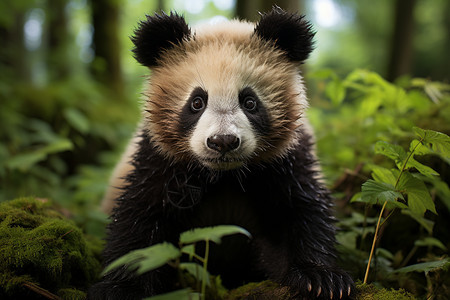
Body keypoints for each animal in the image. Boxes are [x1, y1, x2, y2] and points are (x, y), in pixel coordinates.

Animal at [89, 7, 356, 300]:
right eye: (197, 102)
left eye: (250, 102)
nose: (223, 142)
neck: (225, 175)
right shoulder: (161, 159)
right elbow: (140, 218)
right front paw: (120, 288)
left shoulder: (286, 160)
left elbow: (302, 210)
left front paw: (320, 278)